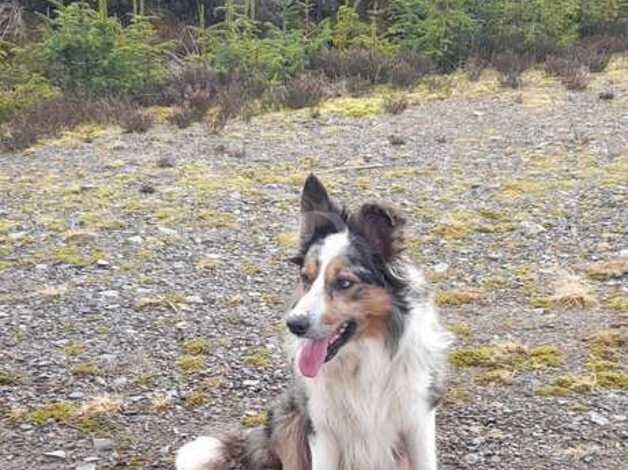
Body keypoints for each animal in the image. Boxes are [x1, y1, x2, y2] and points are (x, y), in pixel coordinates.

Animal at [177, 174, 452, 468]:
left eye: (344, 283)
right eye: (305, 278)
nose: (294, 325)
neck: (363, 360)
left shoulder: (418, 421)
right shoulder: (320, 427)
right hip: (289, 418)